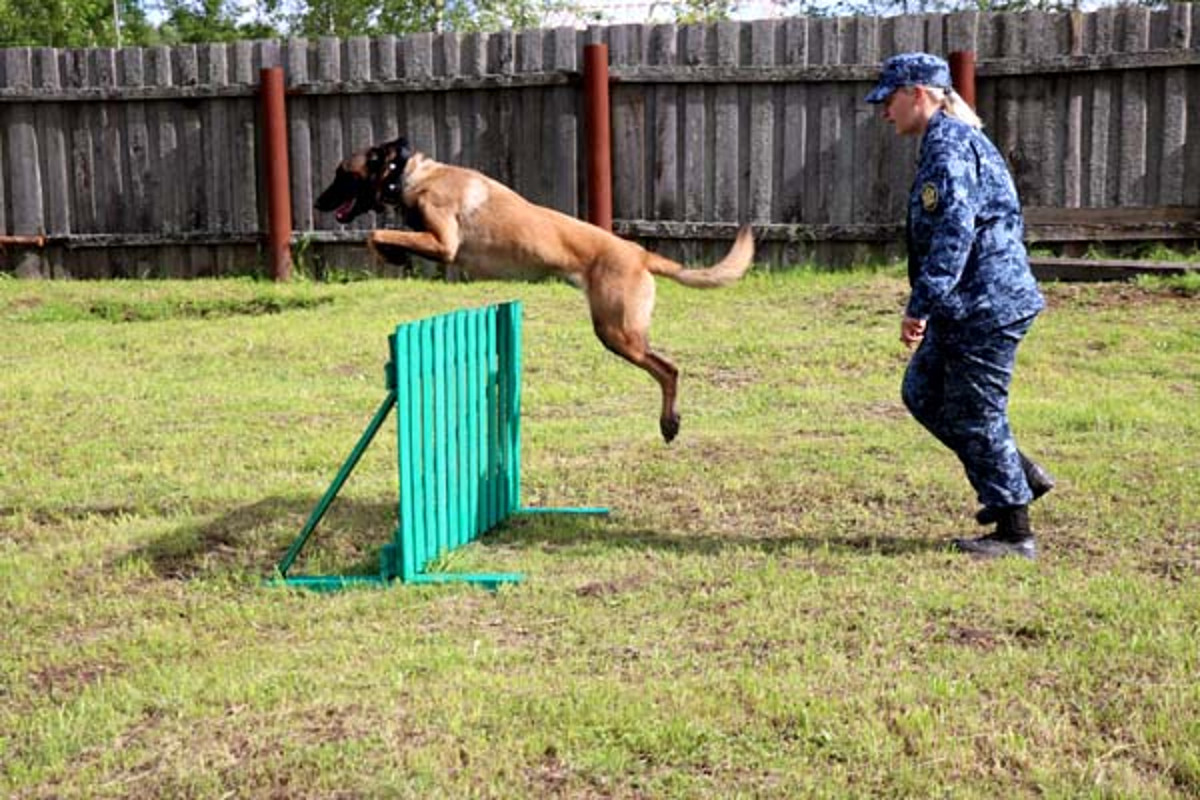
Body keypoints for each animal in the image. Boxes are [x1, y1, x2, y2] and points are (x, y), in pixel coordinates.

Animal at [314, 134, 753, 441]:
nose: (317, 203)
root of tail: (640, 254)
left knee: (669, 369)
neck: (409, 175)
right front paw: (395, 256)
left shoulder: (444, 243)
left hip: (616, 332)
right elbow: (383, 235)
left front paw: (392, 253)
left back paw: (669, 422)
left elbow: (375, 233)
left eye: (341, 173)